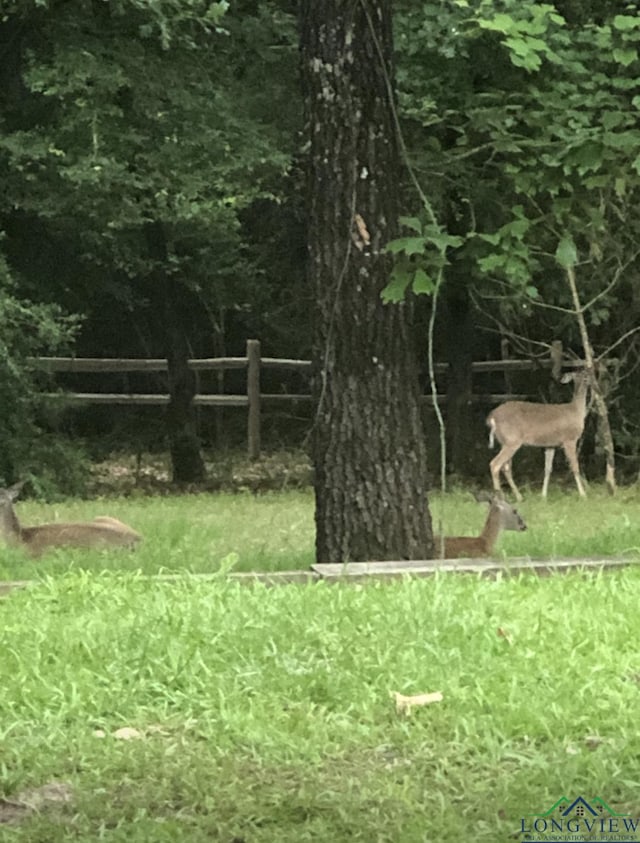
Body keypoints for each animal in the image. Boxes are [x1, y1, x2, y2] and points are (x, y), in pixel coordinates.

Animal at [484, 370, 592, 502]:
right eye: (581, 375)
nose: (589, 381)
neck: (576, 411)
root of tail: (491, 417)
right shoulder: (569, 439)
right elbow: (575, 466)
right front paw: (583, 494)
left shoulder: (551, 444)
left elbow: (547, 469)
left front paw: (543, 495)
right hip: (512, 441)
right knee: (495, 464)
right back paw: (500, 498)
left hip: (504, 442)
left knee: (506, 467)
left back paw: (519, 497)